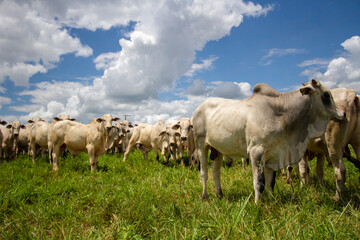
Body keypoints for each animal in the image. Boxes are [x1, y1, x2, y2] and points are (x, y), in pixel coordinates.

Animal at [193, 79, 344, 203]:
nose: (343, 113)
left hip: (217, 149)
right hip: (201, 145)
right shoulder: (256, 151)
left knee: (216, 171)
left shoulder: (273, 154)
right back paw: (205, 196)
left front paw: (272, 200)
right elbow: (259, 182)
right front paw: (257, 204)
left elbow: (271, 182)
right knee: (204, 172)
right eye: (326, 95)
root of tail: (198, 108)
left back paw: (220, 194)